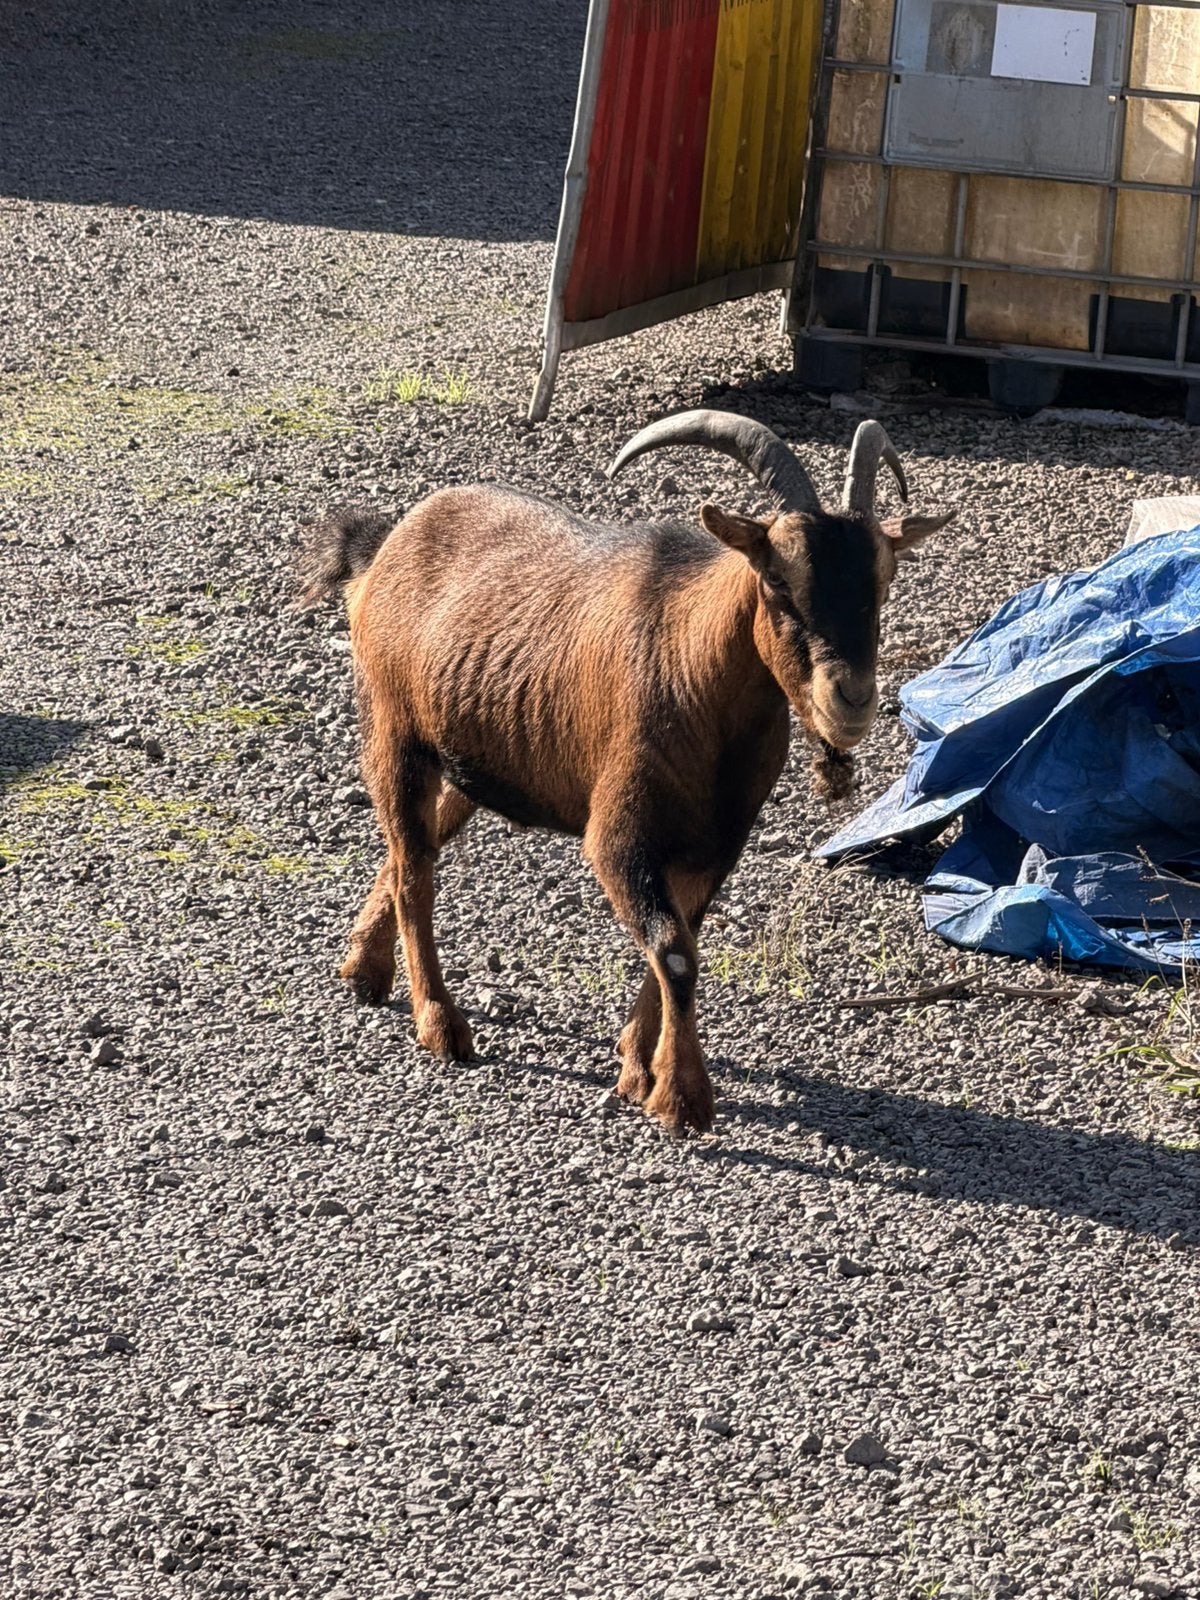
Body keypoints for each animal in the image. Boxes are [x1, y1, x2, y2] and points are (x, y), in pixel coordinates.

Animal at [299, 411, 952, 1132]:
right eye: (777, 580)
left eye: (883, 580)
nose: (852, 699)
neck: (691, 670)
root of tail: (386, 547)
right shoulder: (619, 837)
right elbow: (675, 951)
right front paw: (683, 1098)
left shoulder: (715, 846)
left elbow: (680, 939)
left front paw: (640, 1067)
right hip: (393, 732)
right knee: (416, 870)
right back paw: (440, 1024)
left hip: (471, 760)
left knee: (410, 848)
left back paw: (363, 969)